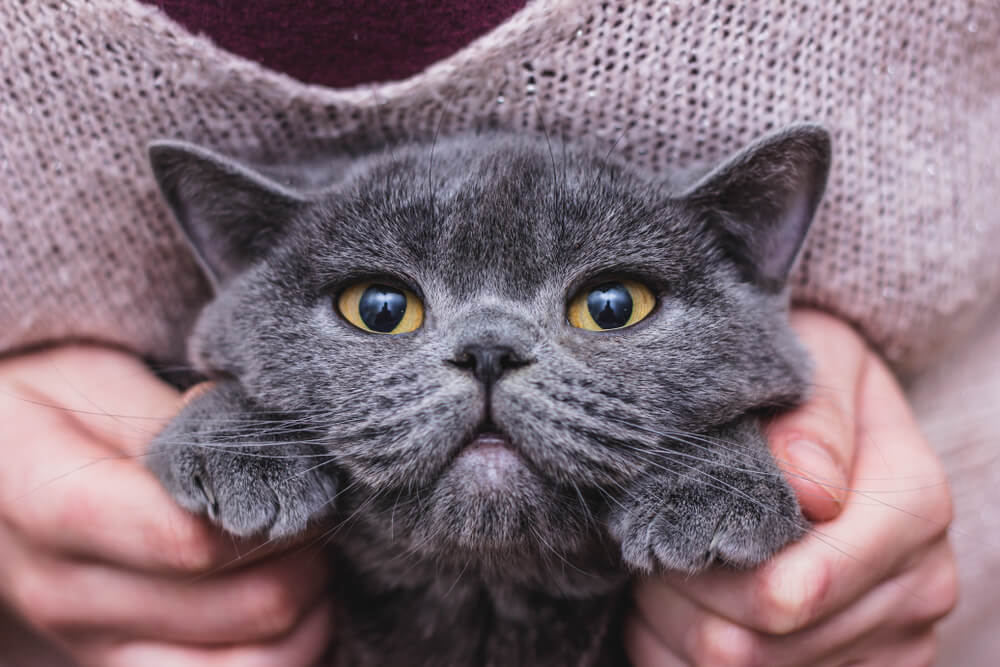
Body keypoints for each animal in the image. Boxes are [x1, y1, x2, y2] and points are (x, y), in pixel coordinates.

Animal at [148, 122, 832, 664]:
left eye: (612, 306)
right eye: (379, 308)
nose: (488, 351)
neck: (485, 593)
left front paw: (710, 491)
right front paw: (237, 449)